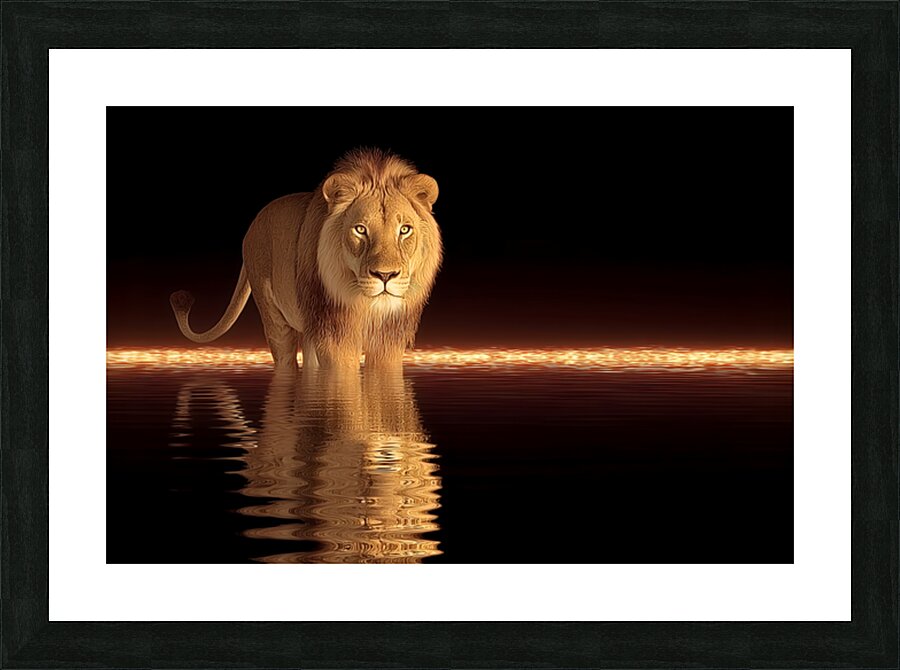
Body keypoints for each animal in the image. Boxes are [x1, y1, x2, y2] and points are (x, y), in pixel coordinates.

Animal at [170, 148, 442, 369]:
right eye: (360, 230)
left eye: (404, 230)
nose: (385, 275)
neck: (366, 306)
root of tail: (253, 225)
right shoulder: (334, 333)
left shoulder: (389, 337)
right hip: (274, 314)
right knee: (285, 355)